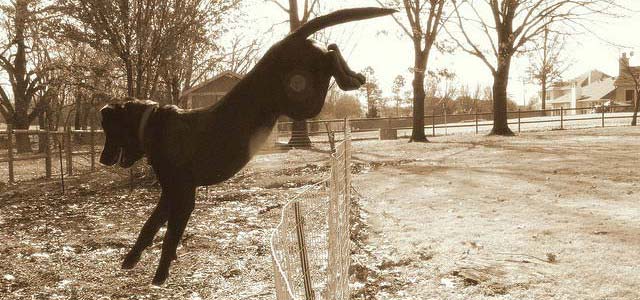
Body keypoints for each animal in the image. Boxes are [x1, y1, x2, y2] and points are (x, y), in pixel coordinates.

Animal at [99, 6, 396, 284]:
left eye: (108, 130)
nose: (102, 159)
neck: (151, 124)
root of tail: (287, 40)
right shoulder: (170, 192)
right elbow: (149, 227)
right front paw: (132, 258)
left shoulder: (183, 194)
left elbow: (170, 235)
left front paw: (160, 275)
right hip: (303, 99)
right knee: (331, 46)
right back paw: (355, 76)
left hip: (303, 101)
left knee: (330, 53)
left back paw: (349, 79)